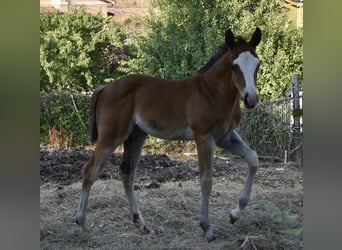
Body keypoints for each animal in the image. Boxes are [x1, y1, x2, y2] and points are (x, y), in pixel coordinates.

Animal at [75, 27, 262, 242]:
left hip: (136, 135)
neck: (213, 93)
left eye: (257, 64)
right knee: (90, 170)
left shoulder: (226, 136)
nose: (251, 98)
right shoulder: (204, 137)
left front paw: (234, 214)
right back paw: (81, 223)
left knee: (127, 174)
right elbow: (206, 180)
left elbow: (253, 159)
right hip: (111, 136)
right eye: (234, 65)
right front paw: (207, 228)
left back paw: (142, 225)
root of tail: (106, 87)